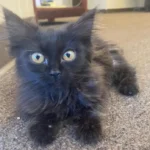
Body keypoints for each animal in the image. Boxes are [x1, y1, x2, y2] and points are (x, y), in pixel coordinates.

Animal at [3, 7, 138, 146]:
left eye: (68, 55)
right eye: (37, 57)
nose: (55, 72)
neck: (60, 94)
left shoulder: (95, 89)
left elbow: (90, 110)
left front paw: (90, 130)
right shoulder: (30, 99)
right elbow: (41, 112)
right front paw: (42, 131)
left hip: (112, 62)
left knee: (127, 69)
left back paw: (130, 88)